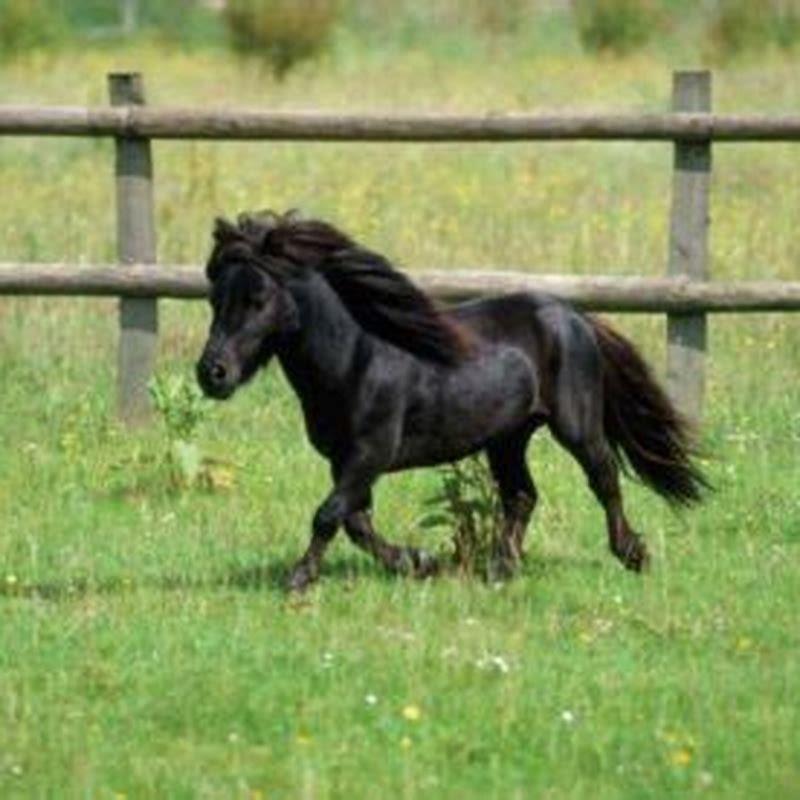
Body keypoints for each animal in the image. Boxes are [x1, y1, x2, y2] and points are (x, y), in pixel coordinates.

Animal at [196, 210, 707, 592]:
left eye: (258, 298)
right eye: (215, 299)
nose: (211, 374)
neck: (356, 358)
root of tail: (575, 317)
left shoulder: (370, 453)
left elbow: (328, 515)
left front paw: (299, 578)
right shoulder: (345, 460)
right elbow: (355, 522)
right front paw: (420, 562)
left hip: (574, 425)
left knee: (603, 478)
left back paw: (632, 554)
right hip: (507, 437)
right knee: (522, 495)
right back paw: (501, 569)